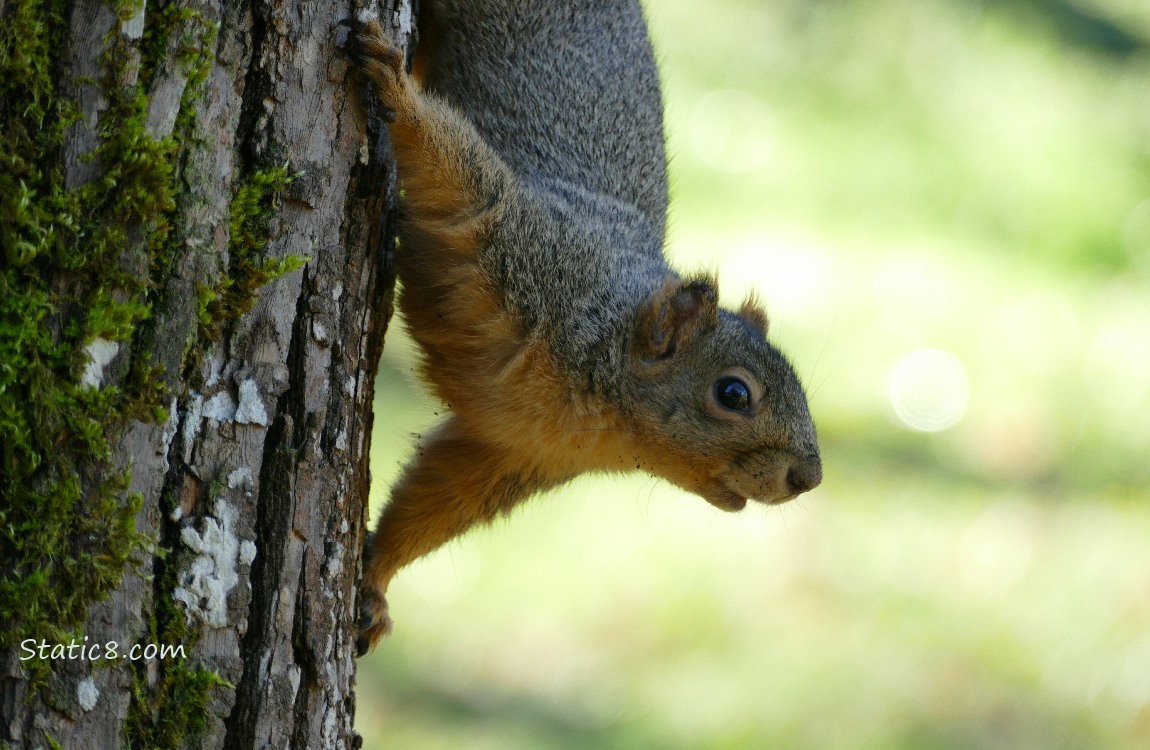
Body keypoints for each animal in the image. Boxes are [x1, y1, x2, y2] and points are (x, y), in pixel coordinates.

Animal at [345, 0, 823, 653]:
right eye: (733, 394)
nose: (809, 477)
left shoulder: (512, 451)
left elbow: (437, 498)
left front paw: (374, 581)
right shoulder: (523, 245)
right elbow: (459, 174)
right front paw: (395, 88)